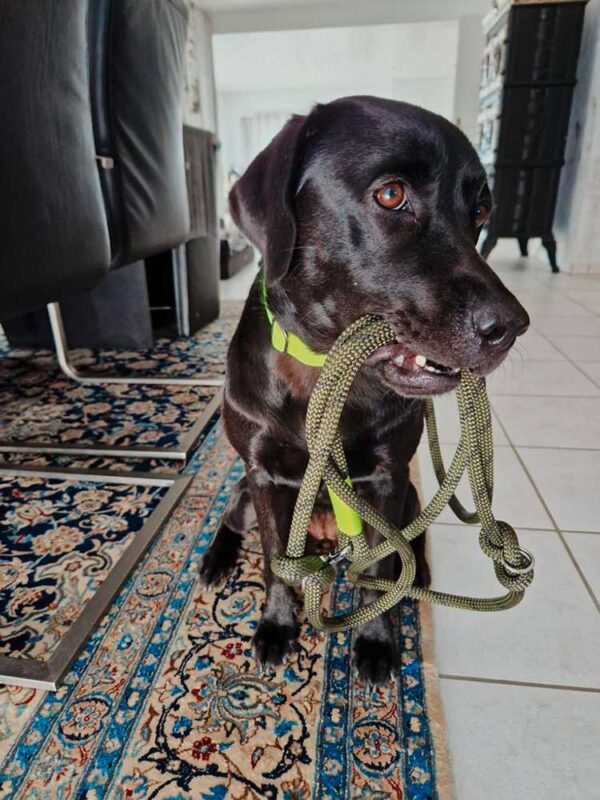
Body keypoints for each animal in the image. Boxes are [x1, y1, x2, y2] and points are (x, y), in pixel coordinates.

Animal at [199, 94, 528, 680]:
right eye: (391, 194)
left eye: (481, 212)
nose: (511, 327)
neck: (326, 371)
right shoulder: (263, 476)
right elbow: (276, 564)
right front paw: (276, 627)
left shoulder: (387, 478)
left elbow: (380, 567)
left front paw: (375, 641)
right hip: (243, 495)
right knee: (232, 522)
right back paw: (216, 560)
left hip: (413, 497)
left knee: (406, 551)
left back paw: (418, 576)